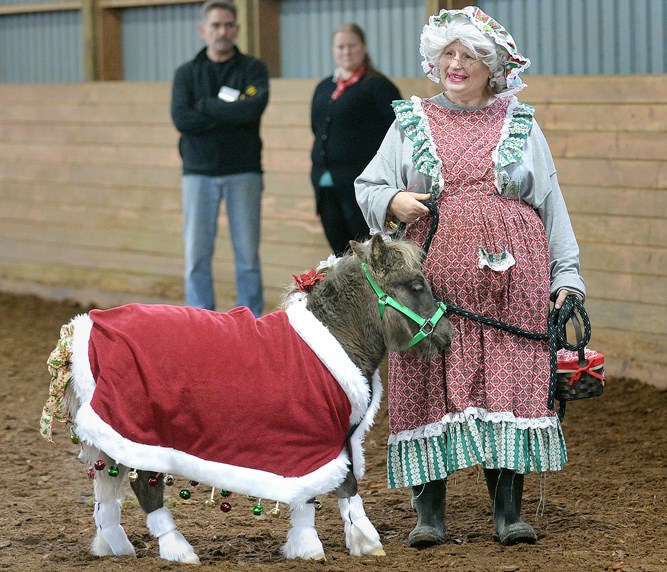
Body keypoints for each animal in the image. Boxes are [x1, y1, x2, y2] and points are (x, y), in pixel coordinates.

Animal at [43, 236, 454, 564]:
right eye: (416, 284)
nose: (447, 333)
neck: (335, 336)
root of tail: (88, 327)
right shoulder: (319, 436)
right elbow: (347, 485)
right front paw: (364, 542)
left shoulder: (310, 444)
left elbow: (308, 495)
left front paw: (305, 545)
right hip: (140, 432)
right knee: (146, 487)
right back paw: (178, 549)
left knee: (107, 490)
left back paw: (113, 545)